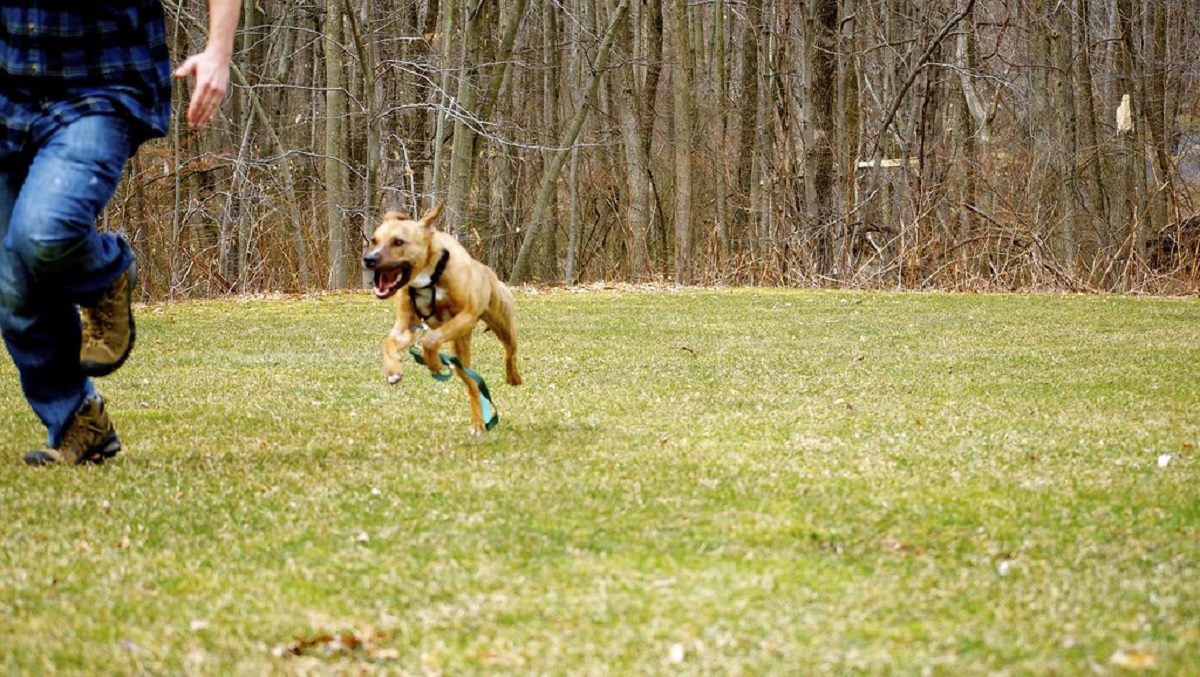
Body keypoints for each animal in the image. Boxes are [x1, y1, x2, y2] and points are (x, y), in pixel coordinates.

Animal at [360, 200, 520, 434]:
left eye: (398, 242)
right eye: (373, 240)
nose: (369, 259)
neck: (429, 277)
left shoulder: (466, 316)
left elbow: (430, 339)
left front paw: (434, 363)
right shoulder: (405, 329)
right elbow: (388, 342)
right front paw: (393, 370)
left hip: (503, 325)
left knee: (510, 352)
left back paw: (513, 377)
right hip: (460, 356)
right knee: (473, 385)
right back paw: (478, 423)